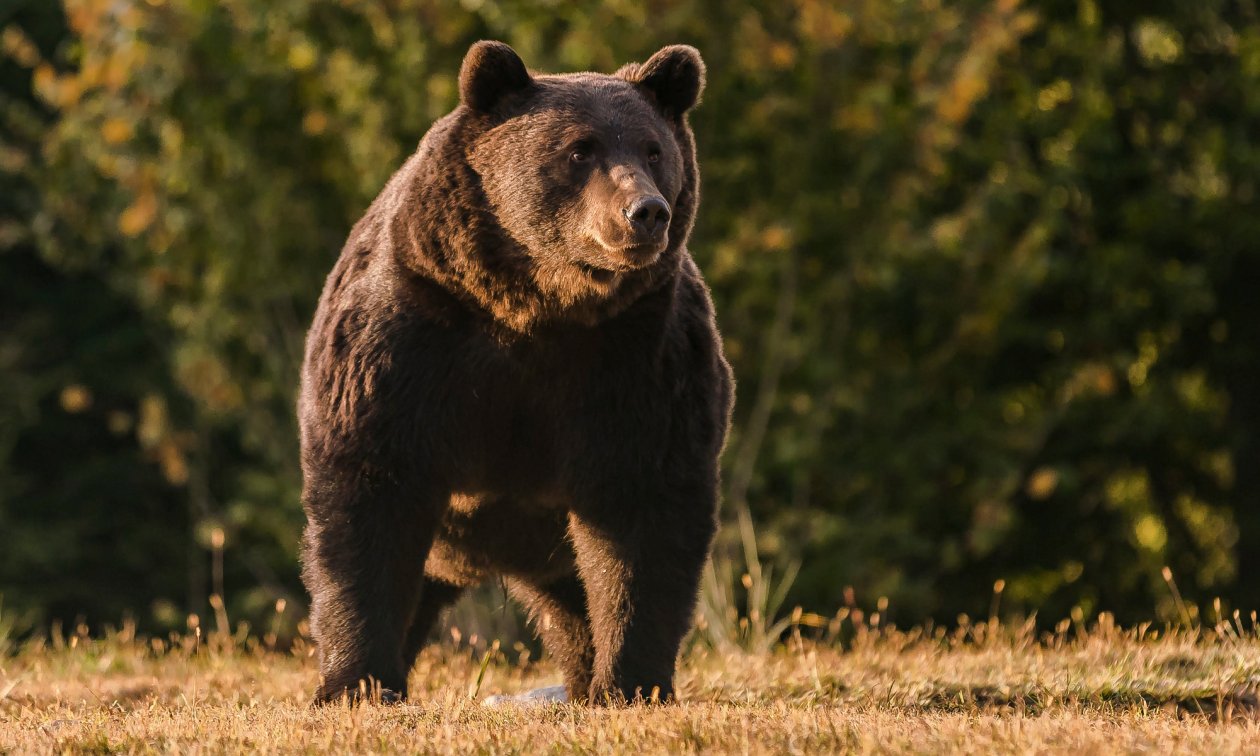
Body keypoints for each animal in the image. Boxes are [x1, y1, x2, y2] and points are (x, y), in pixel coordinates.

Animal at [297, 39, 730, 700]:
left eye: (654, 150)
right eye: (580, 148)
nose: (646, 212)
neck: (536, 306)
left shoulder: (640, 357)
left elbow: (644, 512)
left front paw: (631, 682)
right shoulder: (410, 337)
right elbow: (369, 493)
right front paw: (355, 682)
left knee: (575, 606)